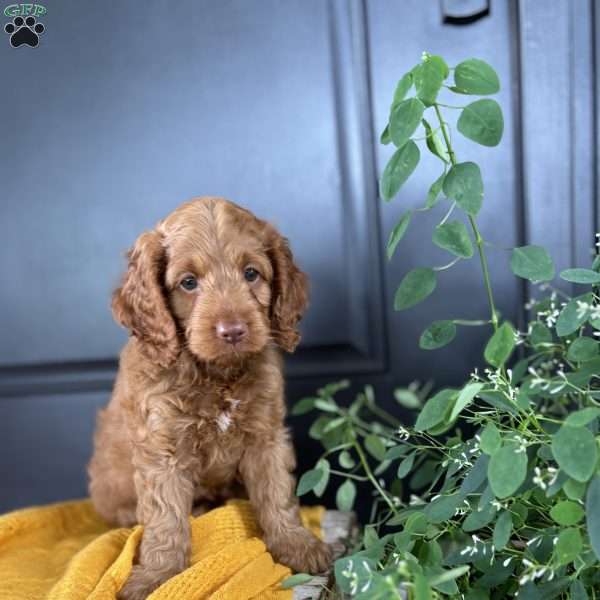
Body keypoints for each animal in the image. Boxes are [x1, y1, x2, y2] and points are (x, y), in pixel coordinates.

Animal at [89, 198, 332, 600]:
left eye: (251, 273)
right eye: (188, 282)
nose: (232, 331)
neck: (217, 373)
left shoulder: (266, 434)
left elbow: (277, 493)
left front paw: (296, 544)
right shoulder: (162, 449)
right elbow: (165, 521)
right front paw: (157, 576)